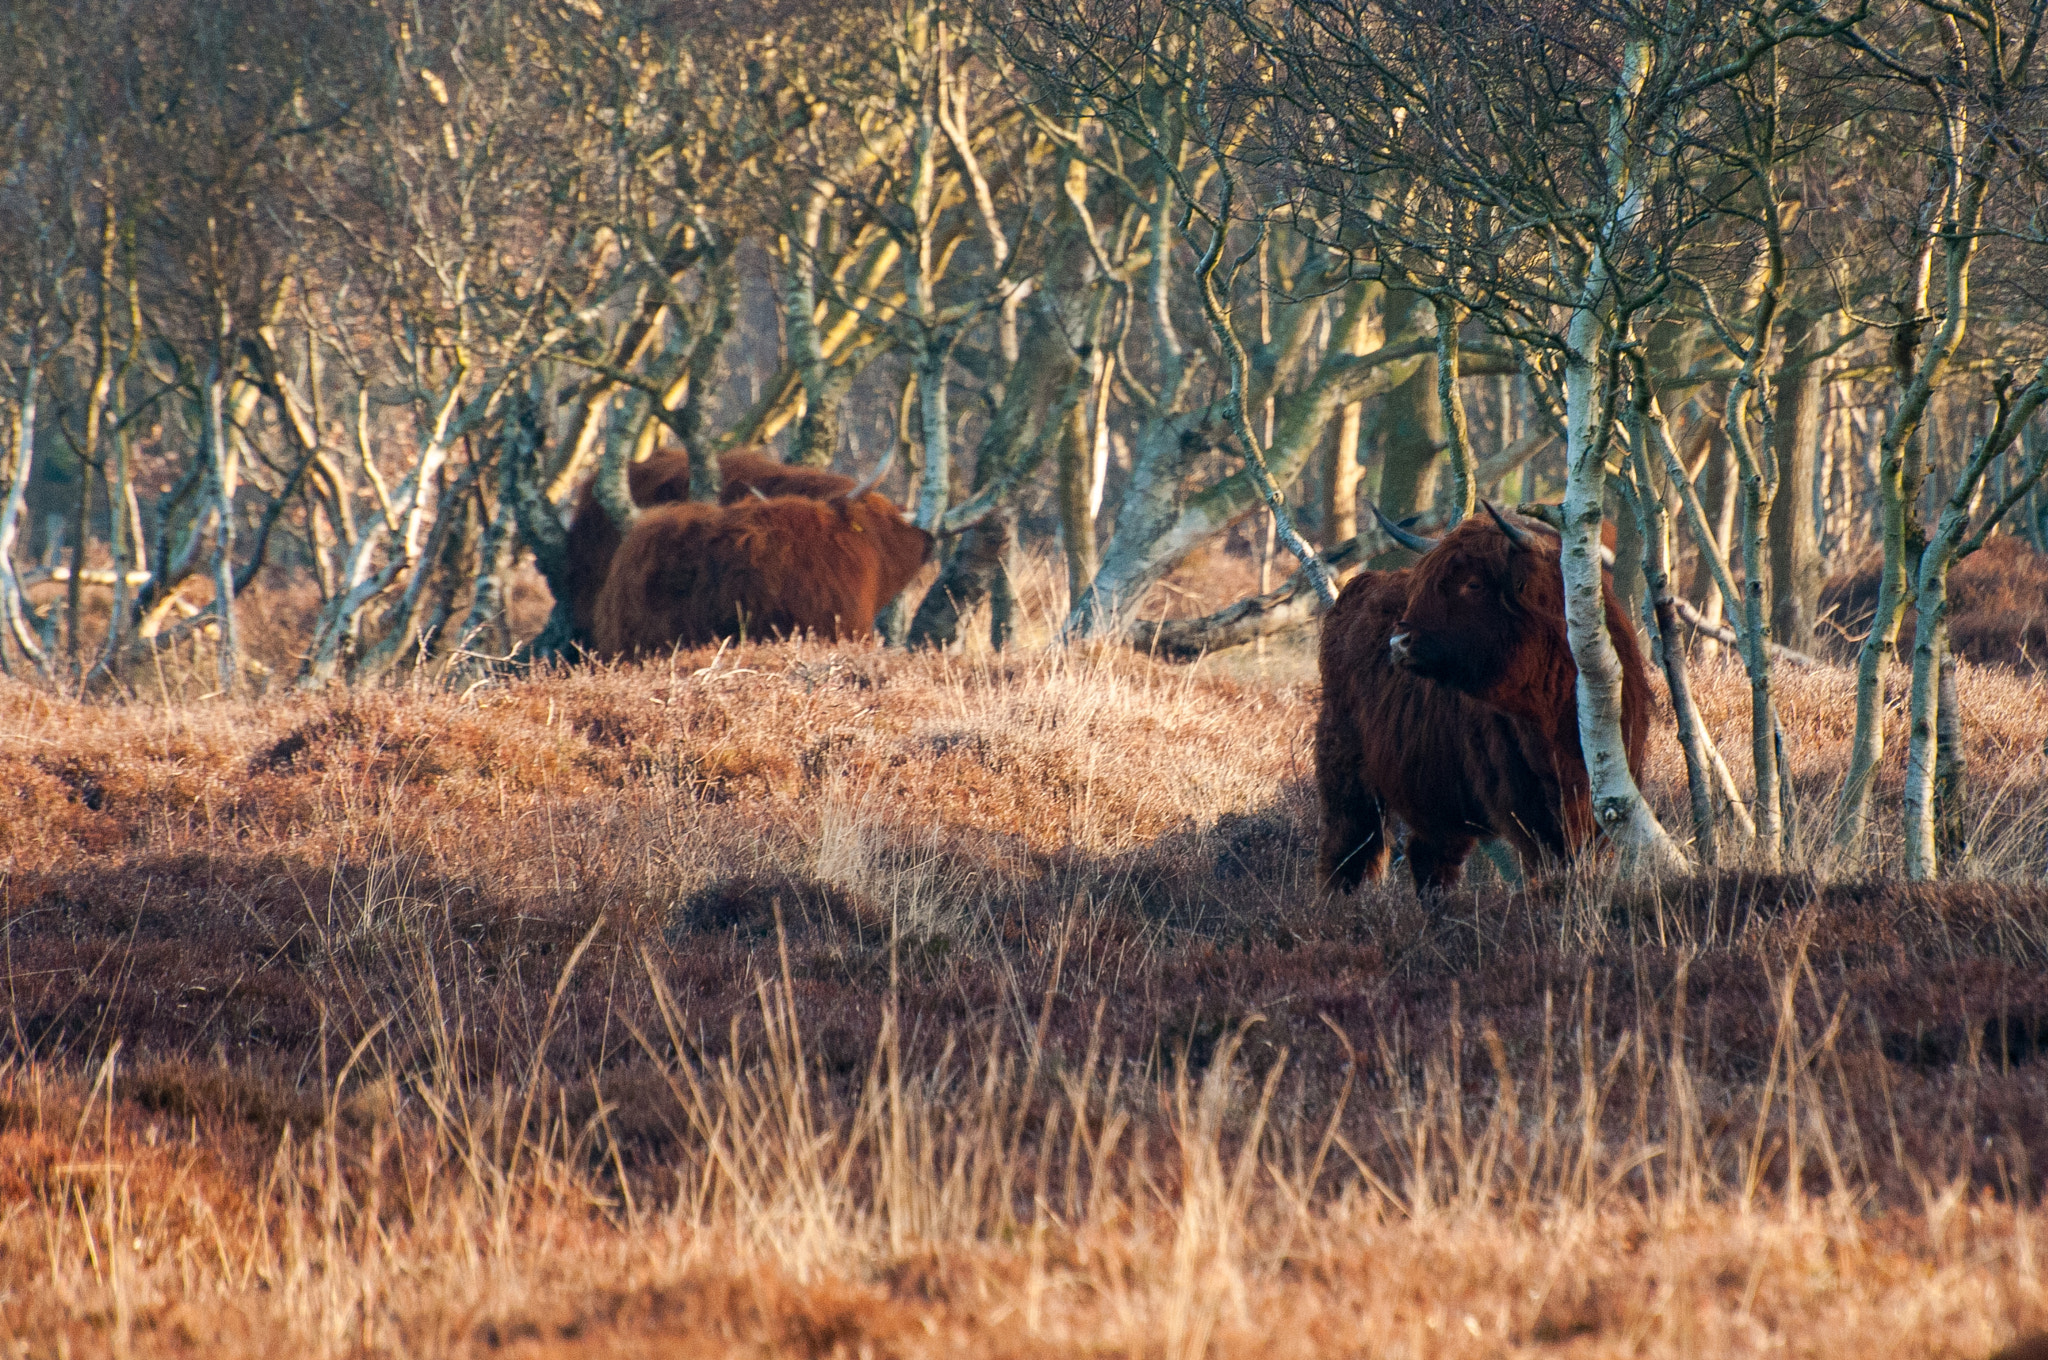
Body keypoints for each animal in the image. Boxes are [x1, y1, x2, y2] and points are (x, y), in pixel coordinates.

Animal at [1318, 501, 1654, 893]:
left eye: (1473, 583)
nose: (1397, 643)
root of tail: (1360, 587)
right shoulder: (1524, 806)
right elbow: (1546, 862)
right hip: (1346, 772)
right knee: (1347, 851)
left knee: (1428, 855)